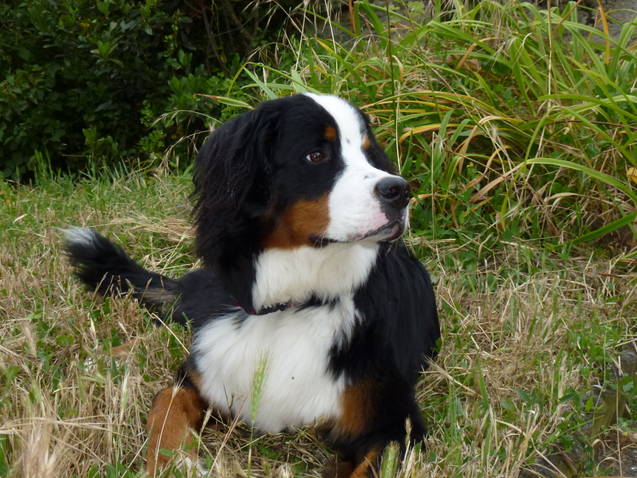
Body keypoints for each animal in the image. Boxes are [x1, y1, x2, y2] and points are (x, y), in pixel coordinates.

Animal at [65, 93, 440, 476]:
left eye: (368, 154)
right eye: (316, 155)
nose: (400, 191)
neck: (292, 304)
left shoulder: (392, 425)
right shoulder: (201, 373)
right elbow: (165, 407)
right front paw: (175, 462)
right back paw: (103, 359)